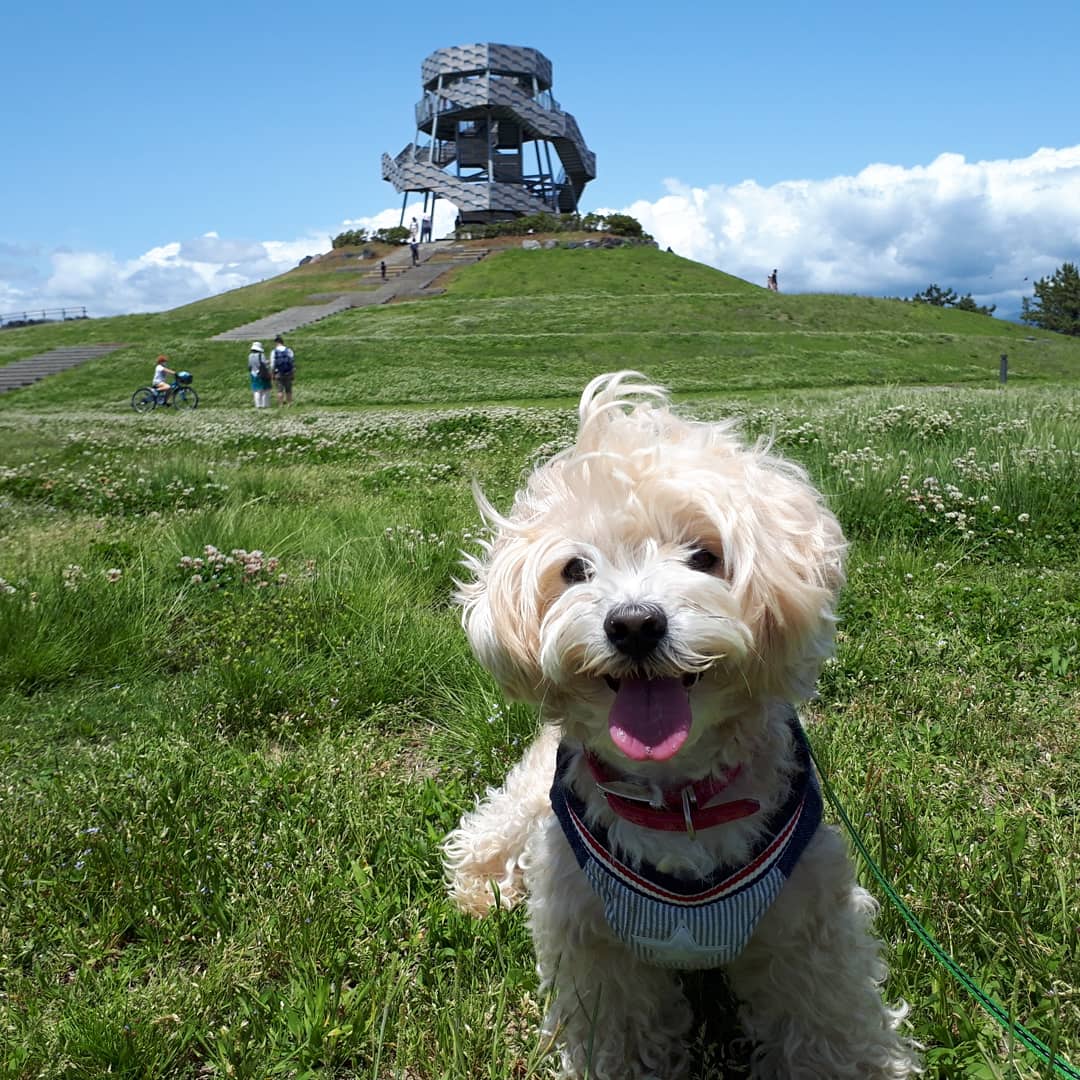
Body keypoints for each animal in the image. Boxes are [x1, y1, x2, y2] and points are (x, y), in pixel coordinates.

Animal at [442, 373, 915, 1080]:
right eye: (575, 569)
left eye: (704, 556)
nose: (634, 624)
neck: (680, 796)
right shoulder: (593, 937)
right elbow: (619, 1031)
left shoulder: (806, 922)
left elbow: (826, 1018)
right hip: (523, 809)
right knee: (486, 832)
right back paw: (481, 891)